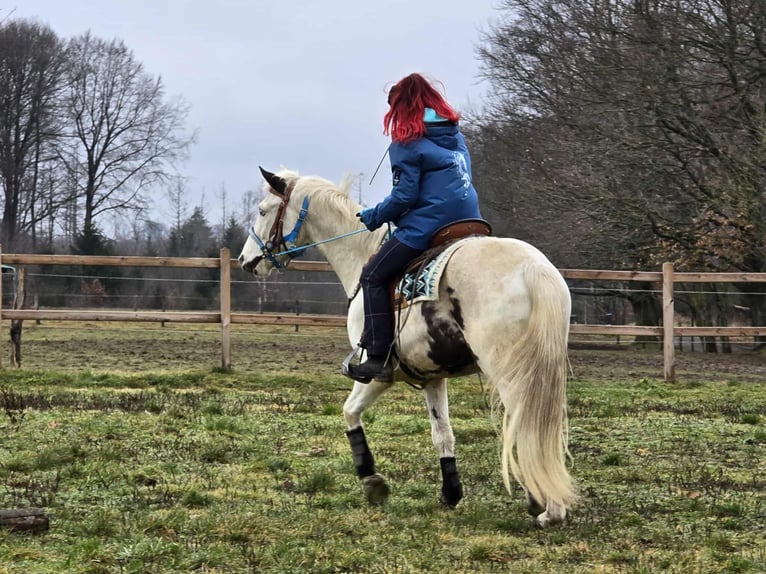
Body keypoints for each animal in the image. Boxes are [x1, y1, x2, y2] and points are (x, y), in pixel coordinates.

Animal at [238, 167, 577, 527]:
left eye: (262, 210)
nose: (246, 260)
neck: (362, 255)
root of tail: (533, 269)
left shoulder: (377, 373)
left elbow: (349, 410)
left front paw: (372, 481)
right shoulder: (431, 376)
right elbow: (442, 432)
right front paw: (450, 492)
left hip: (511, 373)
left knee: (528, 428)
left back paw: (548, 507)